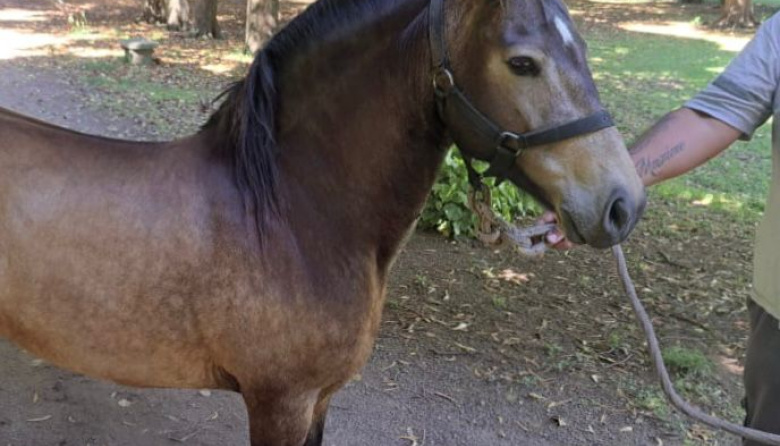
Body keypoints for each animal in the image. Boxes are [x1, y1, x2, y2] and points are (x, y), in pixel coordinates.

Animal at [0, 0, 646, 444]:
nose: (622, 203)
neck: (290, 216)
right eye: (522, 62)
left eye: (584, 51)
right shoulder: (280, 402)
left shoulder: (318, 400)